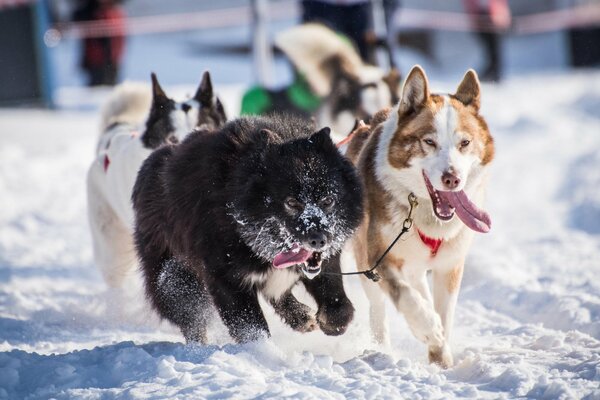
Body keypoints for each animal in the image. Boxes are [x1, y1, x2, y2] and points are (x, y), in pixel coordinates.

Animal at [133, 114, 364, 342]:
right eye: (291, 202)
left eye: (328, 200)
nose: (318, 240)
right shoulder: (226, 279)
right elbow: (252, 328)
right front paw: (262, 350)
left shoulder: (324, 263)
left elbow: (337, 304)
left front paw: (330, 321)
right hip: (174, 279)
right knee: (192, 320)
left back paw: (300, 316)